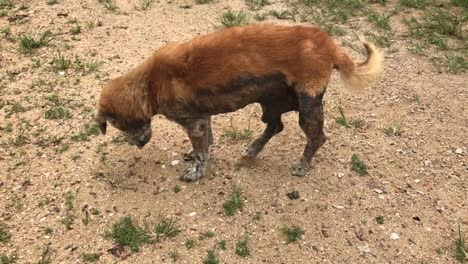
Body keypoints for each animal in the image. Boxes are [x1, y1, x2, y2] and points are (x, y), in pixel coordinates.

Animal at [96, 23, 384, 182]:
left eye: (120, 126)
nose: (137, 145)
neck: (151, 82)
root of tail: (330, 45)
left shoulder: (193, 123)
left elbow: (201, 153)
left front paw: (196, 172)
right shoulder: (203, 118)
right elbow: (207, 143)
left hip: (308, 107)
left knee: (317, 138)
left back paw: (302, 165)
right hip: (271, 103)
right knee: (275, 127)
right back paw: (253, 150)